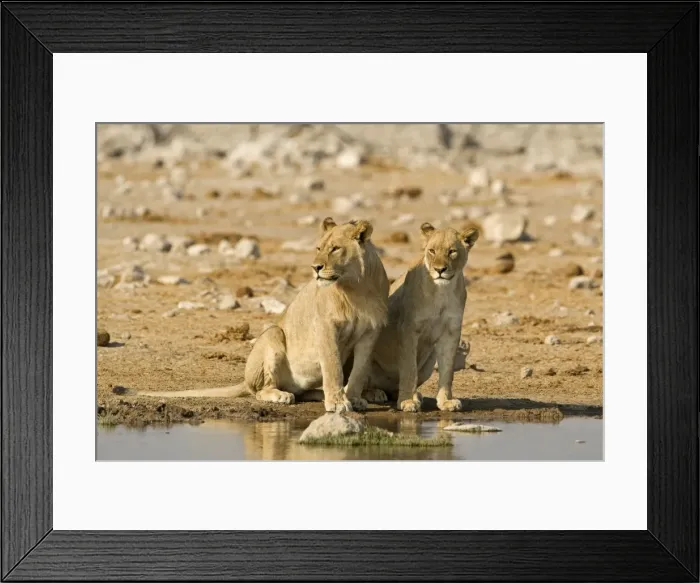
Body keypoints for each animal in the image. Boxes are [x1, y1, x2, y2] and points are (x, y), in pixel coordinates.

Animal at [132, 218, 389, 412]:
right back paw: (281, 395)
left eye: (335, 248)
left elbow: (359, 370)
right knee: (260, 391)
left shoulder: (371, 332)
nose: (315, 268)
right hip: (273, 335)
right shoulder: (326, 327)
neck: (356, 287)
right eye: (319, 248)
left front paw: (353, 398)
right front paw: (337, 402)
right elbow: (333, 365)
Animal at [368, 222, 479, 412]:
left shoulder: (451, 332)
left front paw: (446, 401)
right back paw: (374, 393)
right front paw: (407, 401)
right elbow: (409, 368)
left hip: (429, 363)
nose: (440, 270)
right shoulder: (409, 329)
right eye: (432, 251)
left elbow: (447, 371)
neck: (442, 290)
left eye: (452, 251)